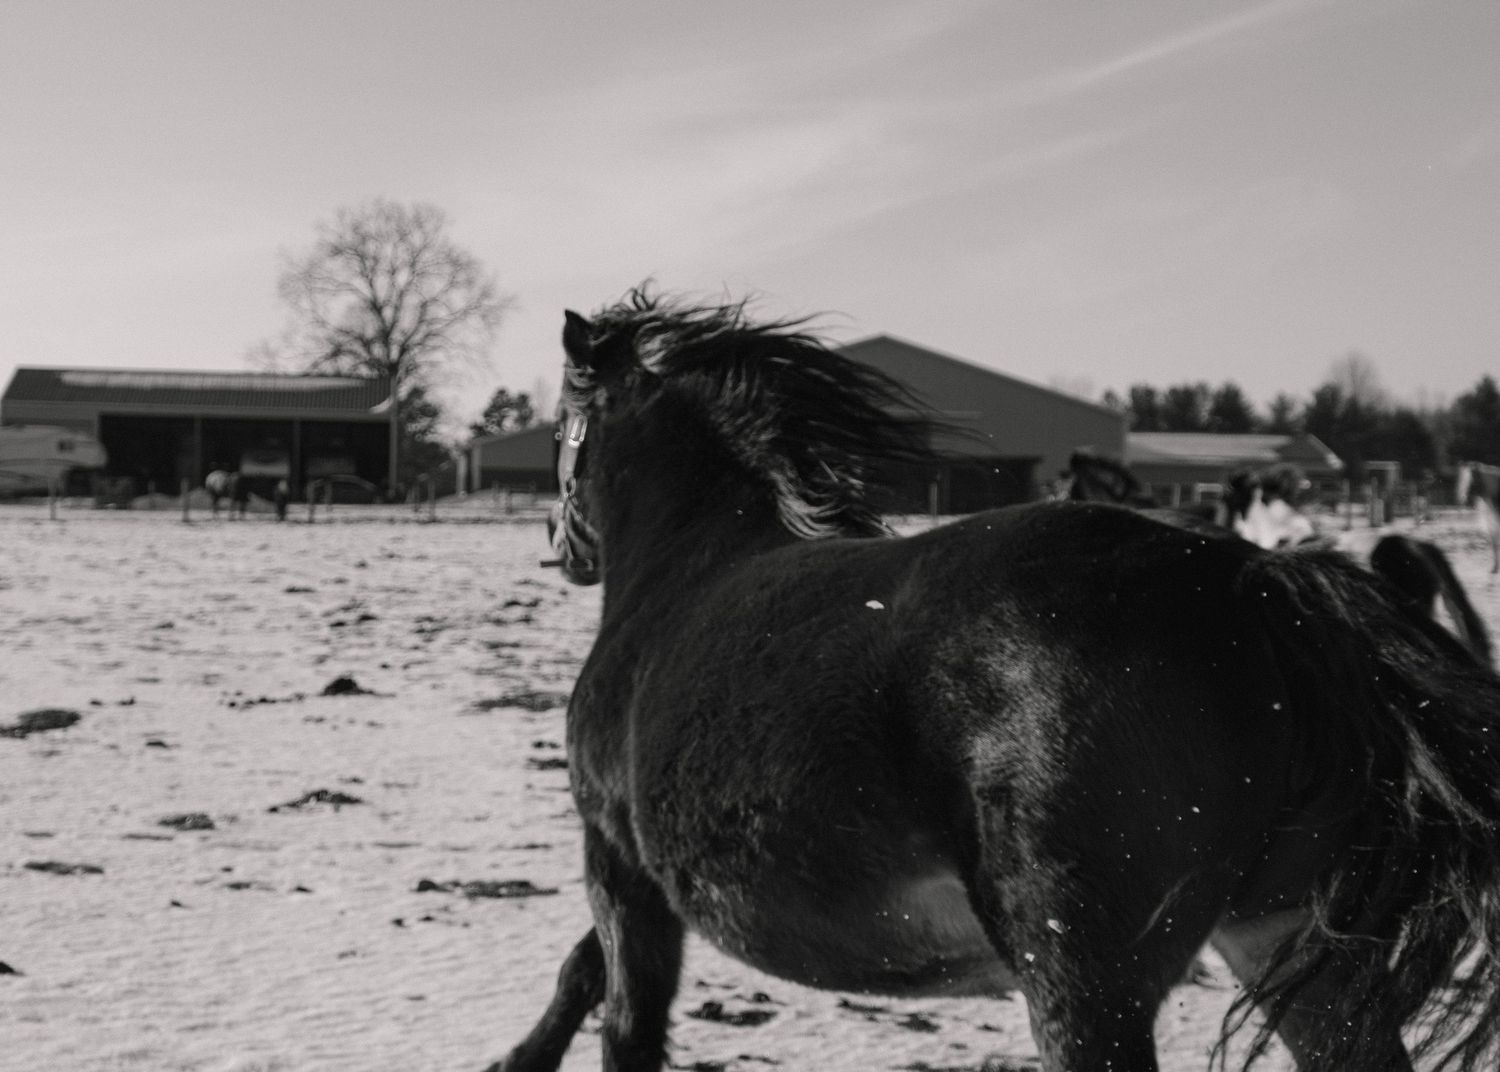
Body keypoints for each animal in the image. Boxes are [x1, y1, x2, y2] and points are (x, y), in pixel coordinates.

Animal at [497, 289, 1500, 1072]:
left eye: (564, 430)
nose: (563, 546)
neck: (684, 565)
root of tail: (1251, 587)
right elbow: (586, 971)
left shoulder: (617, 854)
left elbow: (621, 1014)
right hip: (1290, 941)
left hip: (1085, 984)